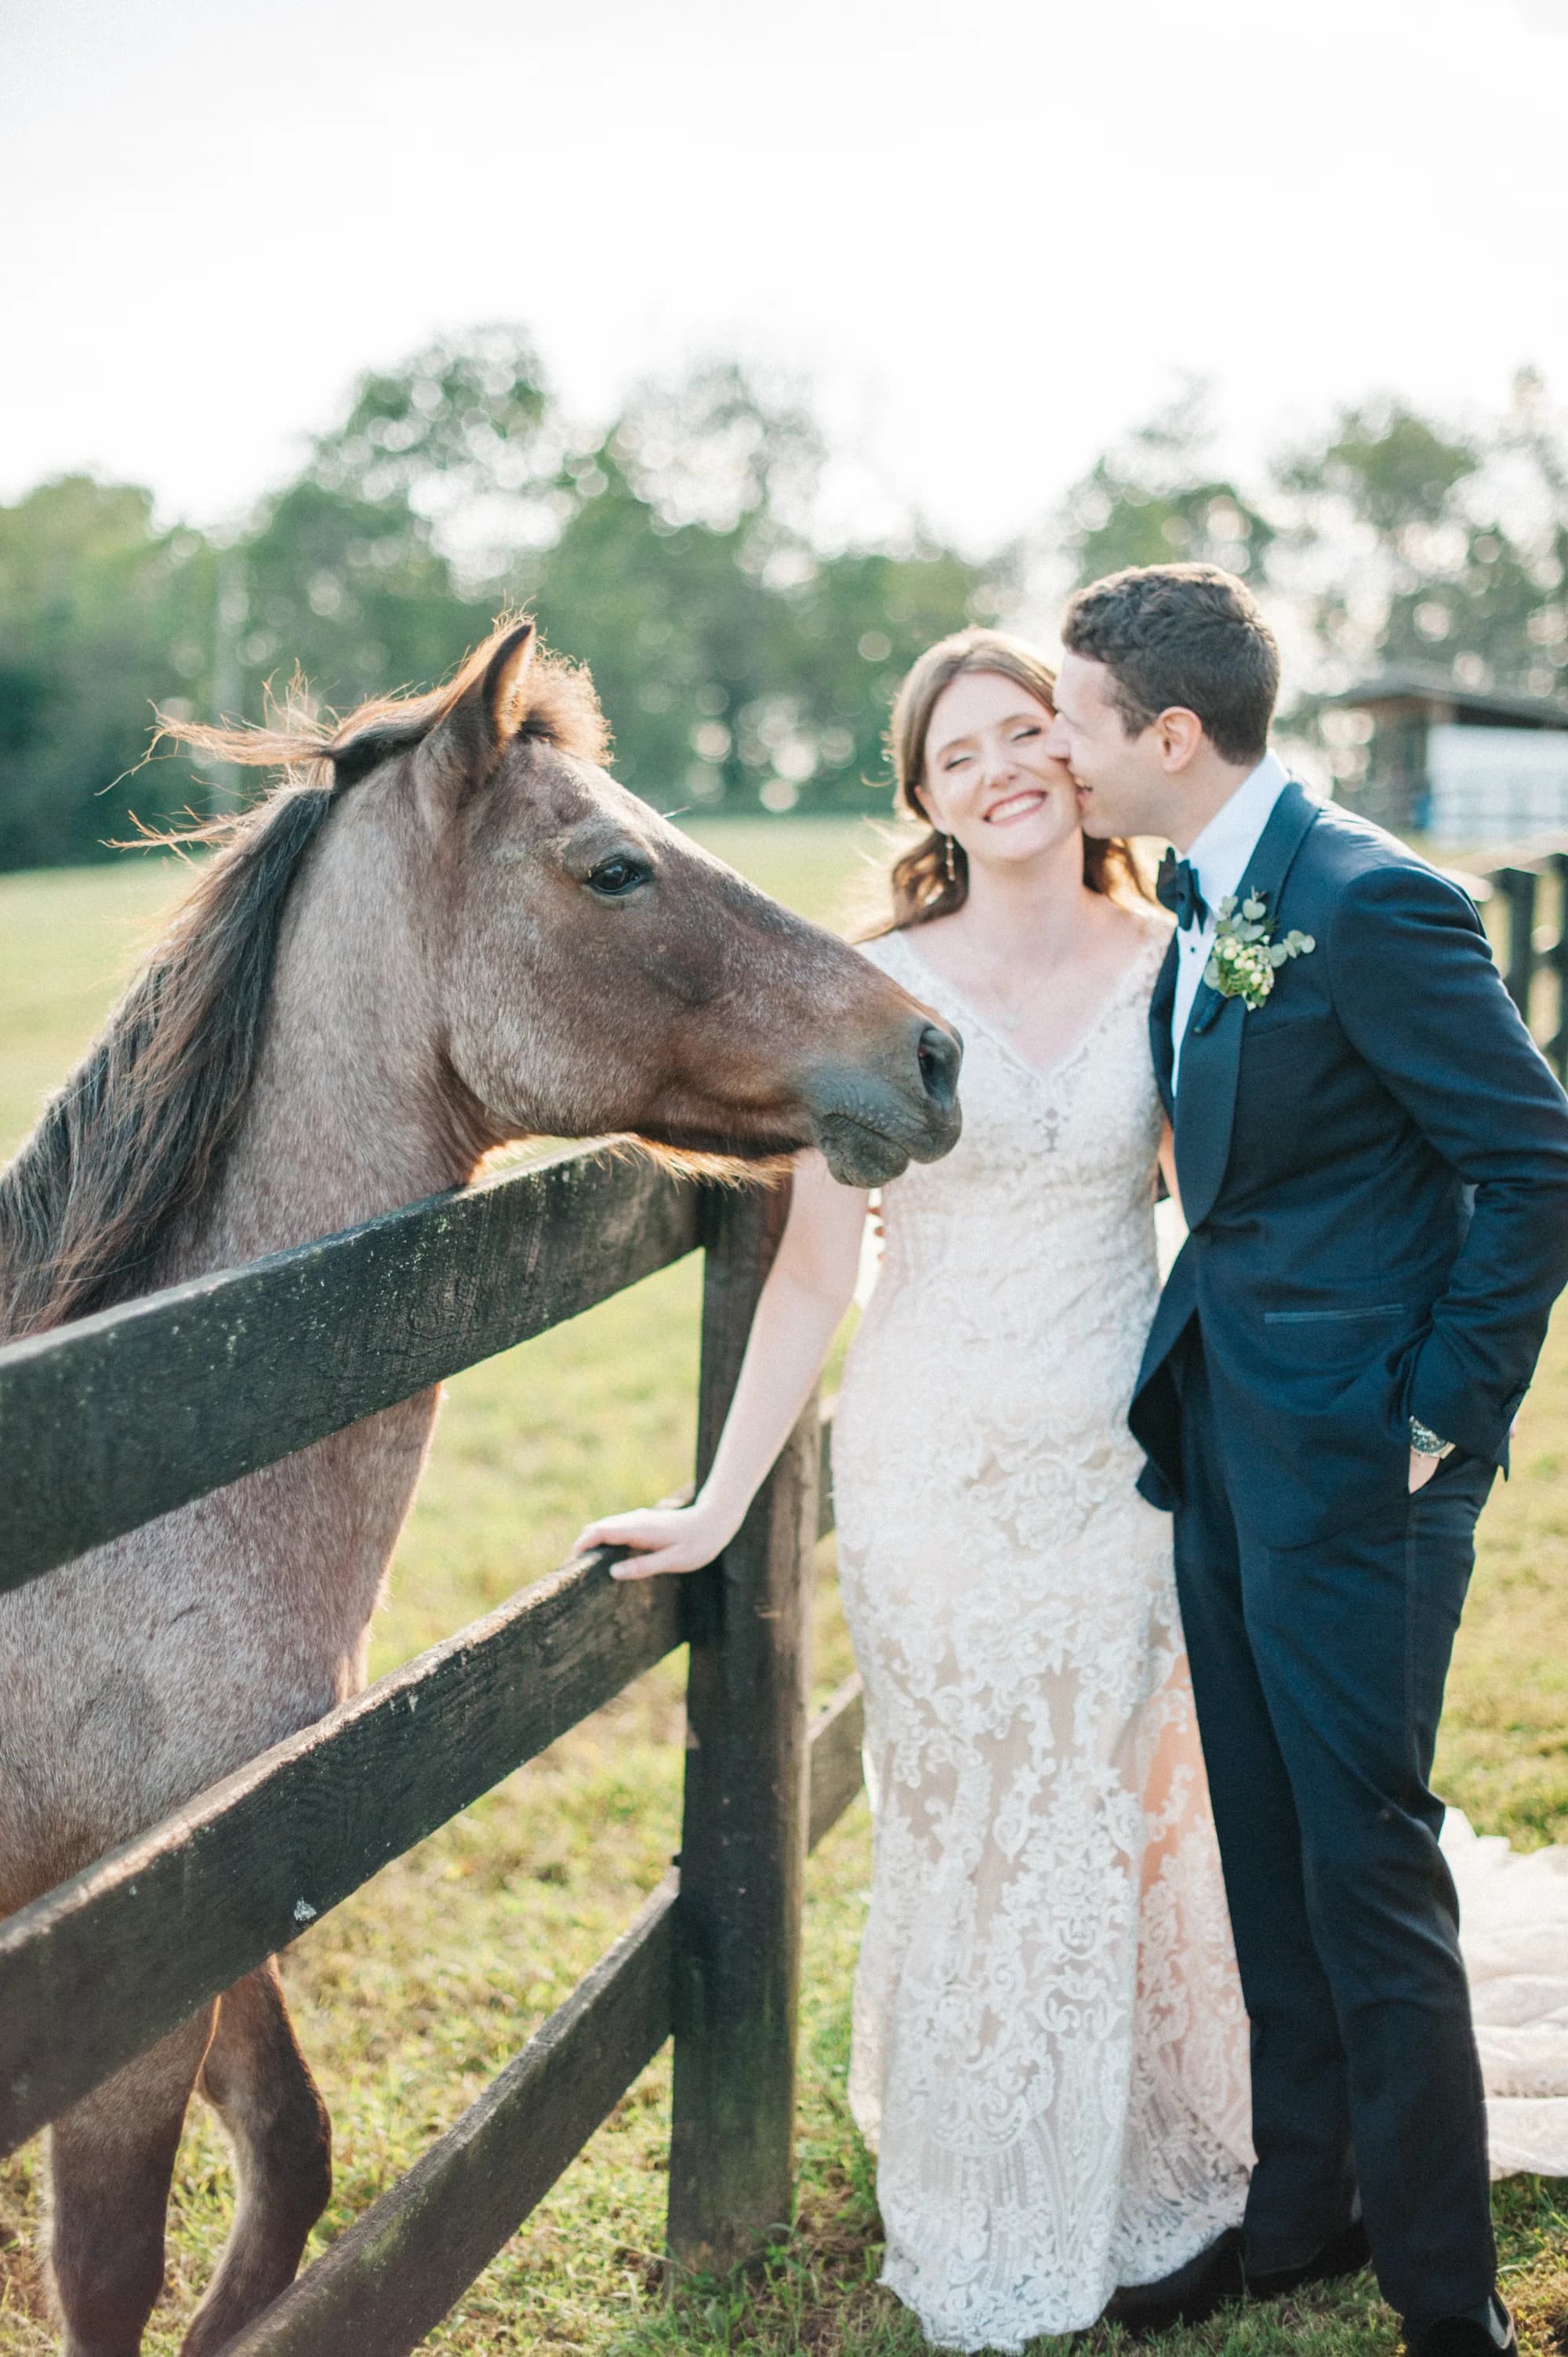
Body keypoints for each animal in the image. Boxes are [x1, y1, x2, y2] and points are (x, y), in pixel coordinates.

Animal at [0, 618, 962, 2357]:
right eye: (613, 868)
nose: (932, 1050)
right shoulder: (119, 1965)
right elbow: (109, 2267)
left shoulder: (227, 1888)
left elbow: (295, 2156)